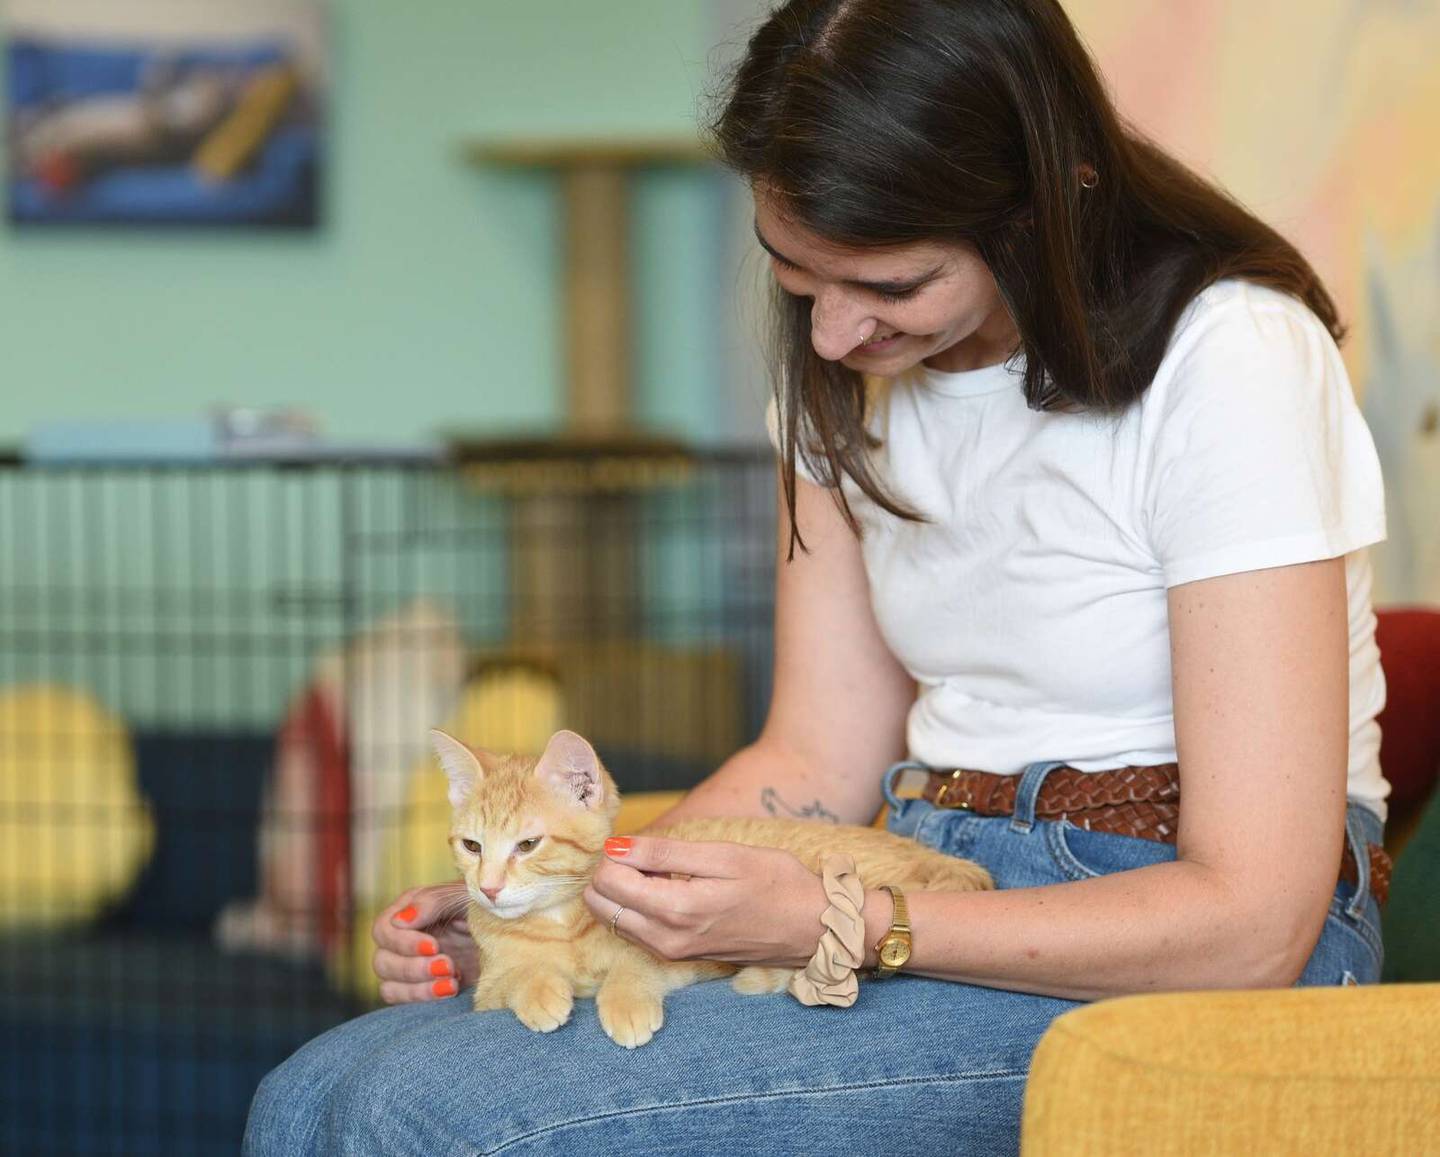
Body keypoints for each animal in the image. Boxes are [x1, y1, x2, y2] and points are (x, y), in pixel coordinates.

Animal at [426, 731, 990, 1048]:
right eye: (472, 846)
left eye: (527, 844)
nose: (488, 888)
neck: (561, 924)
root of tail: (931, 854)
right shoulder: (487, 990)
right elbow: (519, 976)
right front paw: (543, 991)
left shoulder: (679, 957)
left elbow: (635, 967)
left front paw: (626, 1004)